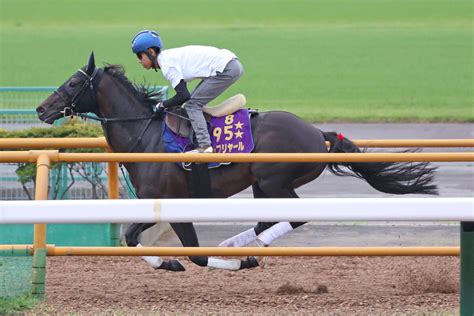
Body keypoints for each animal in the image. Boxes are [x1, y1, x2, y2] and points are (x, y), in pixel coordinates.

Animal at [36, 53, 436, 272]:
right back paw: (237, 244)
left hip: (275, 181)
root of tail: (316, 133)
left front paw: (205, 262)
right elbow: (130, 238)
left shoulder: (173, 203)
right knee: (264, 221)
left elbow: (191, 254)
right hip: (262, 186)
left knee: (293, 217)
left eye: (73, 83)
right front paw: (171, 261)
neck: (145, 135)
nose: (41, 109)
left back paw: (246, 251)